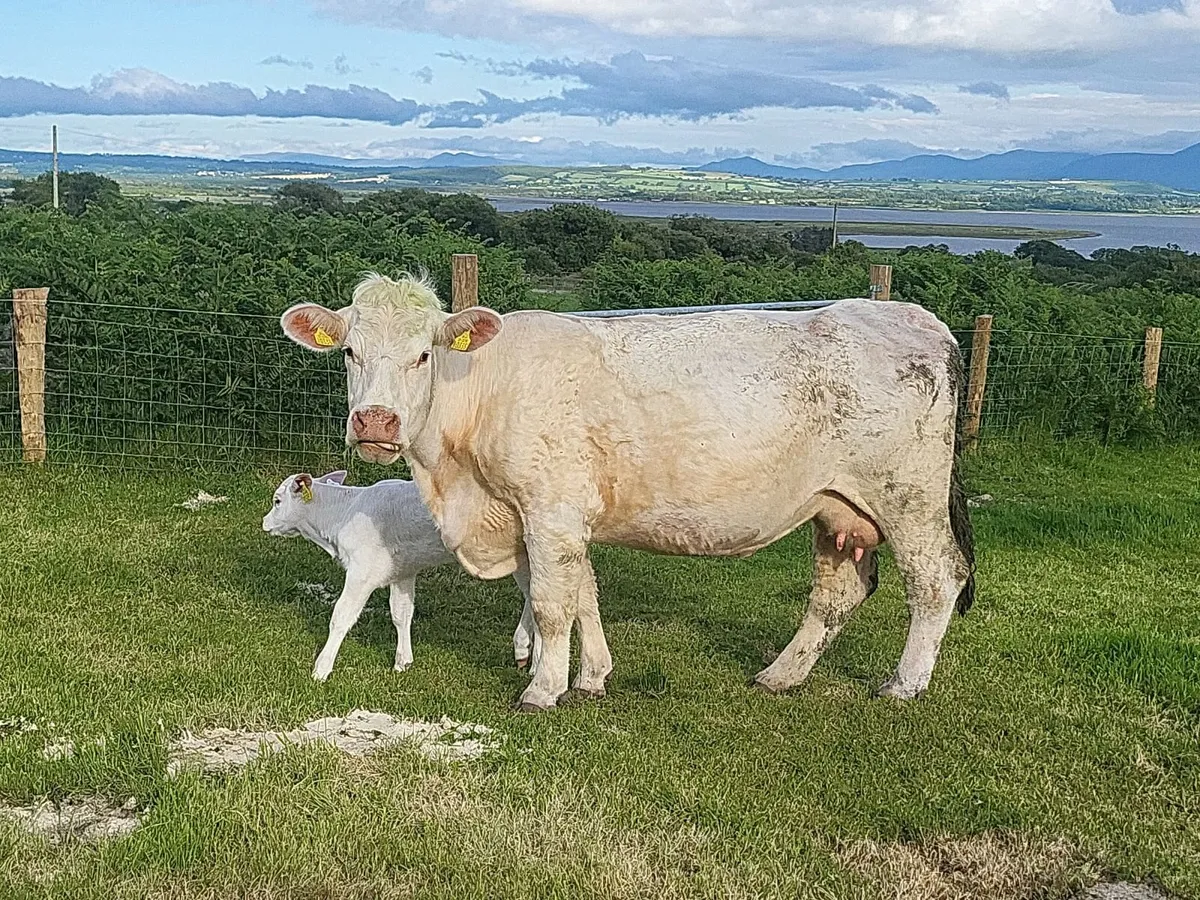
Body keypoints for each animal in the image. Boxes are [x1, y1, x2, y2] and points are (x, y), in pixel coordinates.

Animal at [281, 273, 975, 711]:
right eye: (349, 352)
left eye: (424, 354)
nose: (375, 421)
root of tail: (914, 318)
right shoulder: (557, 517)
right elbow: (584, 596)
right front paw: (591, 677)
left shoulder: (551, 511)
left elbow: (552, 604)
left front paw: (542, 689)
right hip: (837, 506)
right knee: (838, 593)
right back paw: (780, 675)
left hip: (908, 494)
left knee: (936, 578)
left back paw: (903, 685)